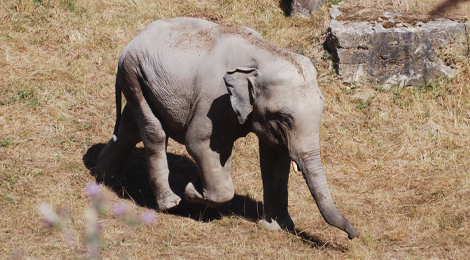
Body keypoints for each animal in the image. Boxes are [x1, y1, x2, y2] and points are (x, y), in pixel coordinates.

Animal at [97, 17, 358, 239]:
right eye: (284, 119)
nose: (354, 235)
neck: (263, 54)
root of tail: (131, 43)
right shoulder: (215, 102)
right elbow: (199, 143)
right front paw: (192, 191)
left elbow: (275, 157)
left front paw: (277, 227)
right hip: (135, 75)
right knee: (155, 132)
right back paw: (170, 203)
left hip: (140, 81)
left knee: (129, 128)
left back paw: (104, 177)